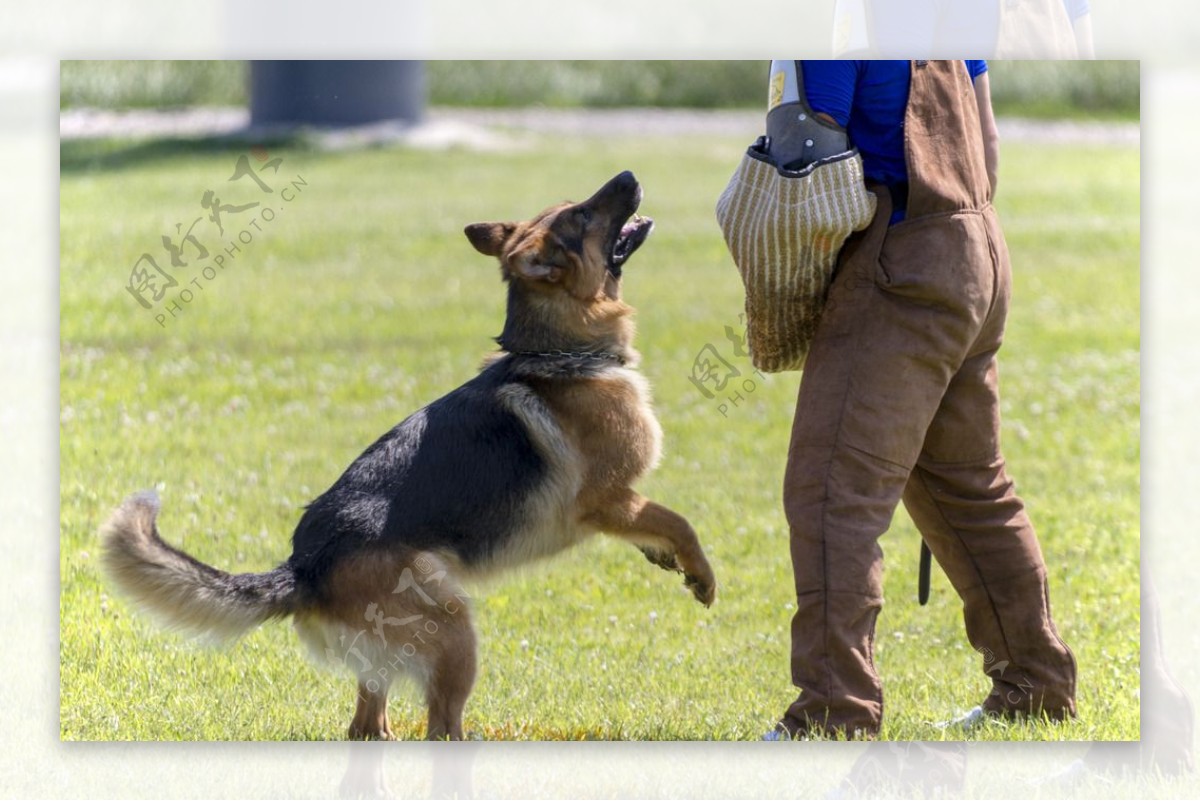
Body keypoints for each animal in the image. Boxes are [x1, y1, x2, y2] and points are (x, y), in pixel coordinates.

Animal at [100, 172, 710, 743]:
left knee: (367, 724)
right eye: (583, 215)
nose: (629, 176)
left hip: (395, 656)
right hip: (455, 628)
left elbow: (658, 525)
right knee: (441, 725)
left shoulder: (620, 505)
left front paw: (666, 560)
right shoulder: (607, 500)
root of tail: (302, 567)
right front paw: (702, 577)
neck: (560, 351)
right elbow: (679, 520)